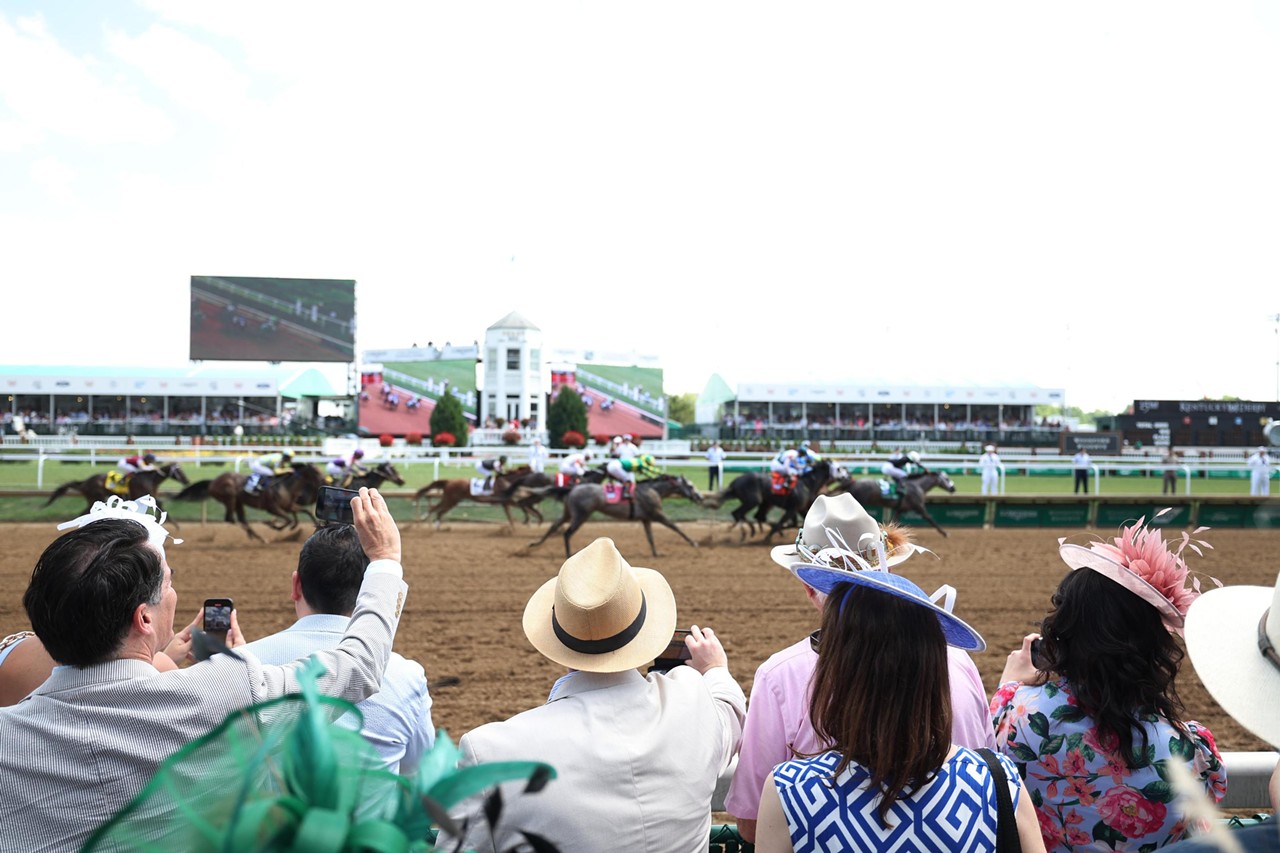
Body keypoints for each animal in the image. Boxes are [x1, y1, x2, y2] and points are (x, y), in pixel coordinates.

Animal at [175, 461, 325, 540]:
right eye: (316, 472)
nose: (325, 481)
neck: (285, 486)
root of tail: (213, 482)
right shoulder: (272, 508)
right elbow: (288, 519)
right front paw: (272, 525)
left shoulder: (288, 505)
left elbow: (304, 513)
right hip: (230, 499)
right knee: (231, 519)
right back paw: (256, 536)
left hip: (238, 502)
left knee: (240, 519)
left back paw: (257, 537)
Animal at [527, 471, 706, 558]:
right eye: (690, 486)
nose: (700, 497)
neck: (653, 489)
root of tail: (573, 488)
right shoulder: (657, 515)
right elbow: (677, 528)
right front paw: (694, 543)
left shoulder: (646, 519)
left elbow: (650, 537)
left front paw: (656, 553)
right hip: (581, 515)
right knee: (567, 533)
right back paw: (569, 555)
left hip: (569, 513)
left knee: (554, 526)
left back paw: (534, 544)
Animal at [706, 458, 844, 537]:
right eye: (838, 468)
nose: (845, 475)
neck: (807, 484)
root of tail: (736, 481)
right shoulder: (792, 509)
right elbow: (781, 524)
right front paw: (767, 538)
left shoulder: (801, 509)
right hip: (753, 501)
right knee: (739, 513)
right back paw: (748, 532)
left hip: (761, 502)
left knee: (752, 516)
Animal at [829, 468, 962, 535]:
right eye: (946, 478)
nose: (953, 488)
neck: (917, 485)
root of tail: (854, 482)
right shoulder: (918, 506)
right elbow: (930, 518)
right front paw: (944, 533)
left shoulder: (900, 509)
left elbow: (894, 521)